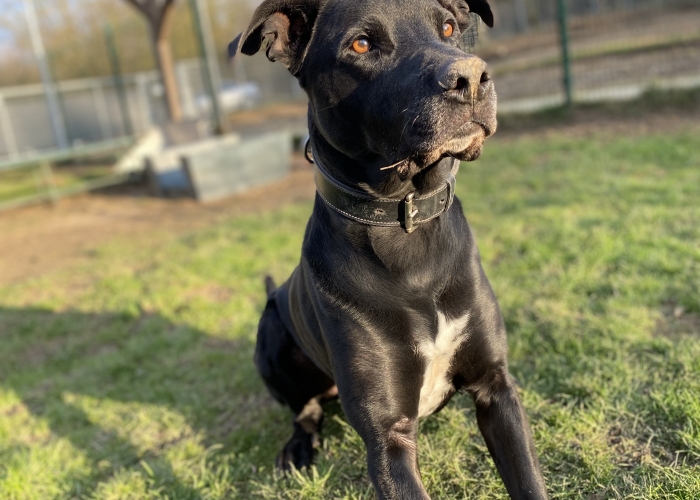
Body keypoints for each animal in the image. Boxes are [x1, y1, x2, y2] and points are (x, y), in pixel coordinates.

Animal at [230, 0, 548, 496]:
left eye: (449, 27)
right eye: (362, 44)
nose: (472, 77)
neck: (407, 232)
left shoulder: (496, 388)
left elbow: (529, 480)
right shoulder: (387, 434)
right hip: (272, 334)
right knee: (304, 410)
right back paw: (298, 447)